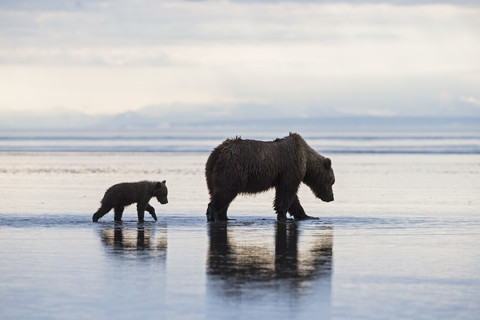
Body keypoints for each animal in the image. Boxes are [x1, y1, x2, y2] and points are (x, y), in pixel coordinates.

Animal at [205, 132, 334, 220]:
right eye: (332, 181)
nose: (331, 197)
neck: (306, 160)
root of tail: (218, 151)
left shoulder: (283, 176)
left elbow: (292, 197)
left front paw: (307, 215)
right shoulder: (291, 169)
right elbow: (286, 193)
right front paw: (282, 215)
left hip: (211, 173)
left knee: (217, 193)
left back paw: (225, 217)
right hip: (233, 170)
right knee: (225, 192)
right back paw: (214, 215)